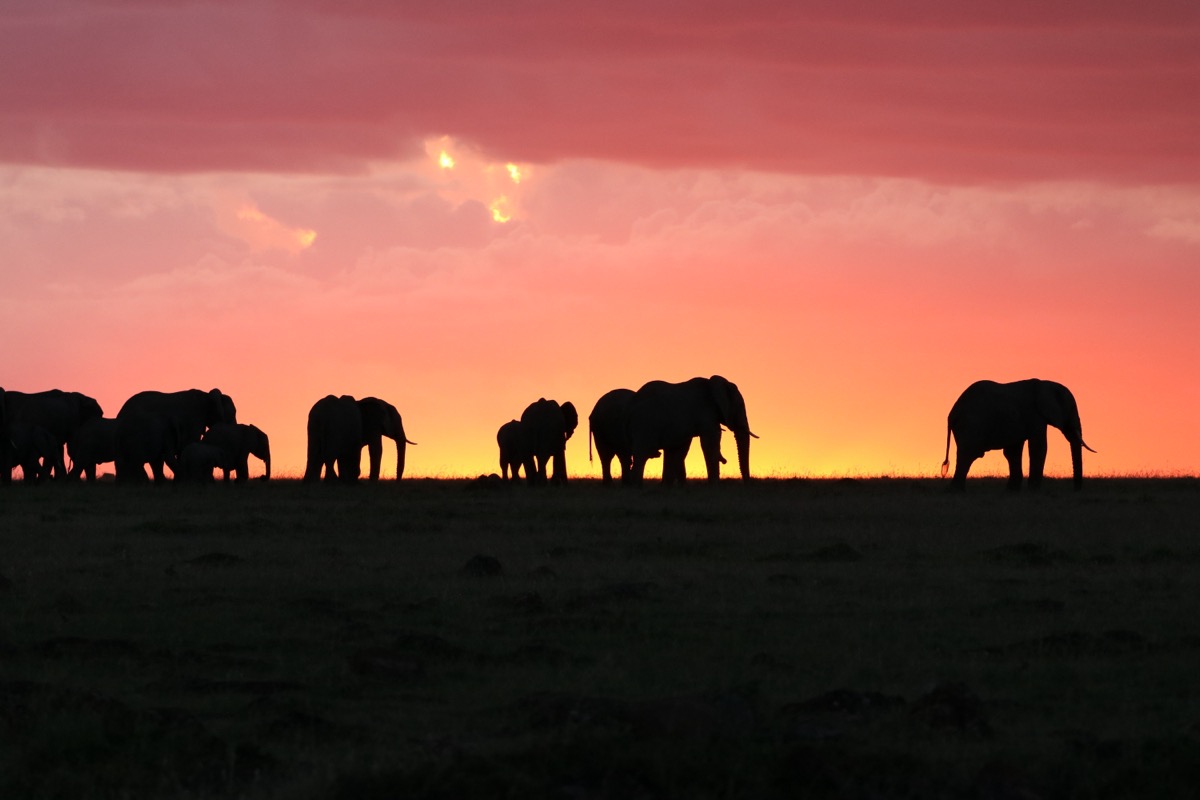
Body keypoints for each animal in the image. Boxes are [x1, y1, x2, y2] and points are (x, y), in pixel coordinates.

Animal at [628, 375, 756, 485]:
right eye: (740, 406)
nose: (746, 485)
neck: (712, 385)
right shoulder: (705, 412)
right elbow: (710, 442)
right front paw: (714, 486)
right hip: (645, 423)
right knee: (642, 454)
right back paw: (637, 486)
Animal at [942, 378, 1095, 491]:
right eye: (1071, 409)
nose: (1076, 490)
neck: (1044, 384)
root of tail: (952, 414)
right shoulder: (1035, 415)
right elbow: (1038, 447)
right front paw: (1033, 490)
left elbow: (1013, 452)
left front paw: (1012, 491)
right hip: (972, 424)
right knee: (969, 453)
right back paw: (957, 491)